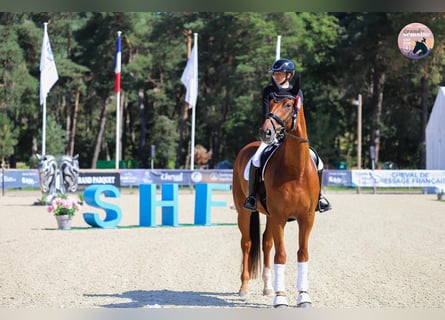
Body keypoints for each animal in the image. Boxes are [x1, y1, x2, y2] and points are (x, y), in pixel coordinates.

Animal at [231, 82, 318, 308]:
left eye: (288, 105)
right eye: (270, 103)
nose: (266, 132)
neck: (296, 171)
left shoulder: (306, 218)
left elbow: (302, 254)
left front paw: (303, 296)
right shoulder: (280, 218)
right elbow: (281, 255)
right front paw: (281, 298)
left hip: (270, 216)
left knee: (266, 243)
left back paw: (268, 287)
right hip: (244, 212)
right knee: (247, 243)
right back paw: (244, 288)